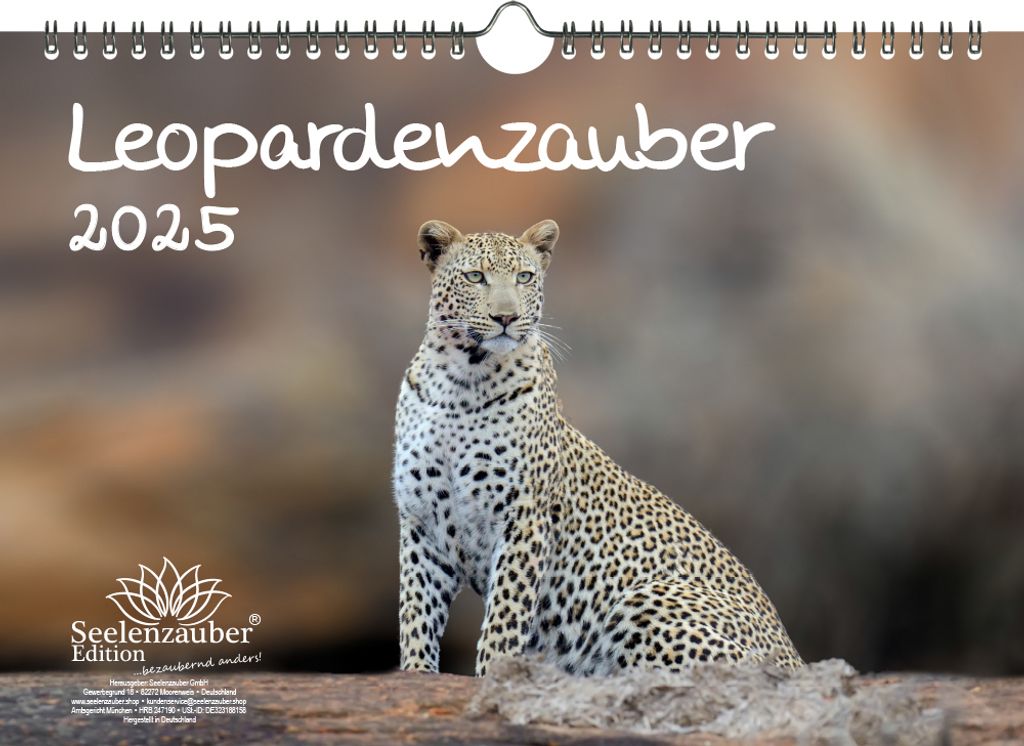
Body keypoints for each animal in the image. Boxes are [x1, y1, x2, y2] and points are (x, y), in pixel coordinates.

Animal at [393, 219, 803, 676]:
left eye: (525, 277)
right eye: (475, 277)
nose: (506, 317)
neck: (461, 381)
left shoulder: (524, 516)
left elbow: (504, 617)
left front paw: (494, 677)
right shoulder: (420, 522)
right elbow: (416, 614)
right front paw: (415, 675)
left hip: (647, 599)